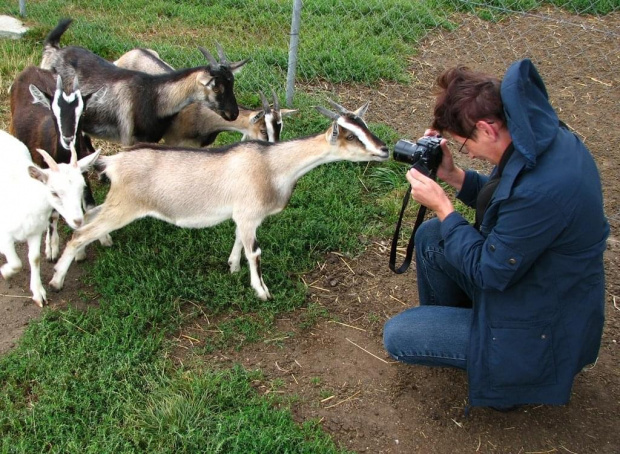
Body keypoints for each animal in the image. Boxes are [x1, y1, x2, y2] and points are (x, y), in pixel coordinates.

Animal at [0, 129, 98, 306]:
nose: (78, 221)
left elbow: (34, 258)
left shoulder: (34, 232)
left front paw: (38, 293)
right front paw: (5, 271)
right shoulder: (4, 234)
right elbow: (16, 263)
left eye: (82, 187)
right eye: (54, 192)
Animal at [9, 65, 108, 260]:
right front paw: (52, 248)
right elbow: (53, 213)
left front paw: (100, 237)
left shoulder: (82, 173)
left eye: (82, 112)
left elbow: (89, 204)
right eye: (54, 112)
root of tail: (30, 68)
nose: (68, 138)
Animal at [38, 17, 247, 145]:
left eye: (232, 84)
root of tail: (54, 50)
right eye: (216, 88)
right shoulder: (131, 140)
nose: (233, 113)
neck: (154, 96)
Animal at [49, 102, 388, 302]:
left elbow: (239, 241)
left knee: (87, 217)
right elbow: (256, 253)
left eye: (365, 127)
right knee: (80, 232)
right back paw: (56, 281)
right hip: (125, 205)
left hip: (117, 202)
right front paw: (262, 291)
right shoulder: (250, 215)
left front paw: (232, 267)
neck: (272, 165)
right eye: (349, 135)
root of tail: (114, 161)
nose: (384, 149)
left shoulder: (243, 215)